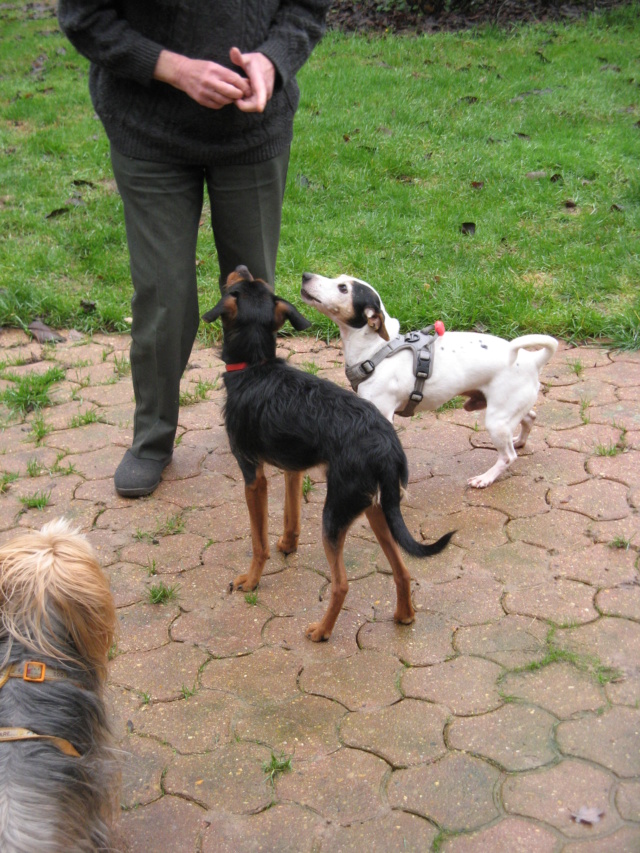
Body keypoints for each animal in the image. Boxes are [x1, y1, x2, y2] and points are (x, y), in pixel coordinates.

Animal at [202, 266, 452, 640]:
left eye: (239, 285)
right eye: (256, 284)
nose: (243, 267)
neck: (256, 366)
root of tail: (386, 445)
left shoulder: (253, 475)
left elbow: (258, 541)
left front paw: (251, 579)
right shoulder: (293, 468)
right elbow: (290, 514)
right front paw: (287, 544)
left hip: (335, 515)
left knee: (342, 585)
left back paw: (321, 631)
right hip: (375, 506)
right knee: (403, 569)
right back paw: (404, 615)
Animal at [300, 272, 556, 486]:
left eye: (343, 288)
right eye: (338, 279)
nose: (305, 275)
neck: (377, 350)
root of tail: (533, 360)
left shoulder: (383, 413)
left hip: (497, 420)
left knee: (508, 456)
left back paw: (486, 478)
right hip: (509, 411)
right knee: (530, 418)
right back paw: (519, 440)